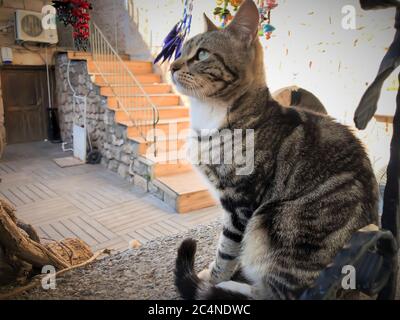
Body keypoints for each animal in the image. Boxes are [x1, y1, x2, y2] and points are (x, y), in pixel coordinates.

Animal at [171, 0, 378, 300]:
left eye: (202, 54)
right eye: (181, 50)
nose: (171, 66)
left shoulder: (241, 204)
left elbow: (227, 250)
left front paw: (213, 277)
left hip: (273, 223)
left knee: (275, 293)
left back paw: (229, 287)